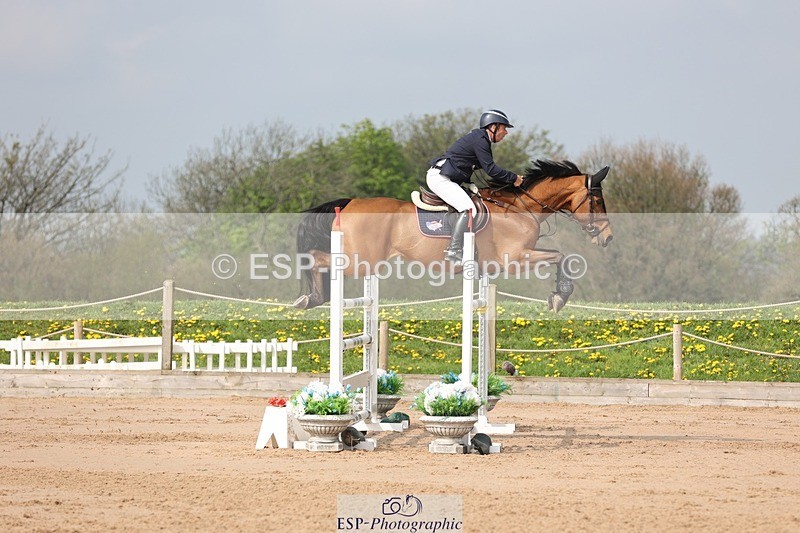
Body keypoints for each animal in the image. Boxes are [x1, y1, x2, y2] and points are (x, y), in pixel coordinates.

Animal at [293, 159, 613, 312]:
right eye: (597, 200)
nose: (607, 238)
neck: (520, 207)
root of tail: (349, 202)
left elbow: (560, 256)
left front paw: (558, 296)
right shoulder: (514, 260)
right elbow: (561, 256)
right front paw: (560, 297)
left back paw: (312, 298)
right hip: (361, 260)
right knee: (317, 258)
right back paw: (311, 297)